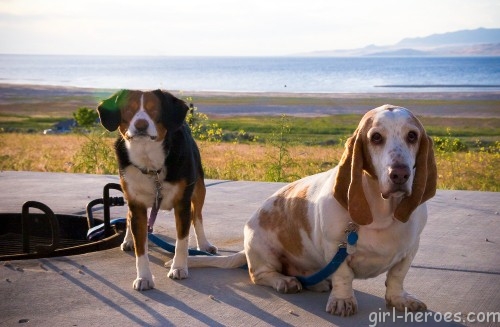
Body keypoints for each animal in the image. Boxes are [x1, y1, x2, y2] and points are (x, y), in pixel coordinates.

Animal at [96, 88, 216, 290]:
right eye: (129, 109)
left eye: (154, 109)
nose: (141, 125)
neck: (150, 163)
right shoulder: (136, 204)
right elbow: (140, 247)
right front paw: (144, 277)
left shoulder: (182, 204)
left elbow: (182, 241)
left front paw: (179, 268)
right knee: (128, 217)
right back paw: (128, 240)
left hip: (199, 189)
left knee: (197, 217)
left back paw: (204, 245)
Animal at [182, 105, 436, 318]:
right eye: (376, 137)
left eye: (412, 136)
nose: (400, 174)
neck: (382, 212)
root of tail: (245, 249)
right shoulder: (336, 247)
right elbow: (344, 276)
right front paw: (343, 301)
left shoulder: (410, 250)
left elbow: (396, 277)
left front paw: (400, 299)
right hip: (262, 249)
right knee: (260, 275)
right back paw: (284, 281)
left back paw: (317, 283)